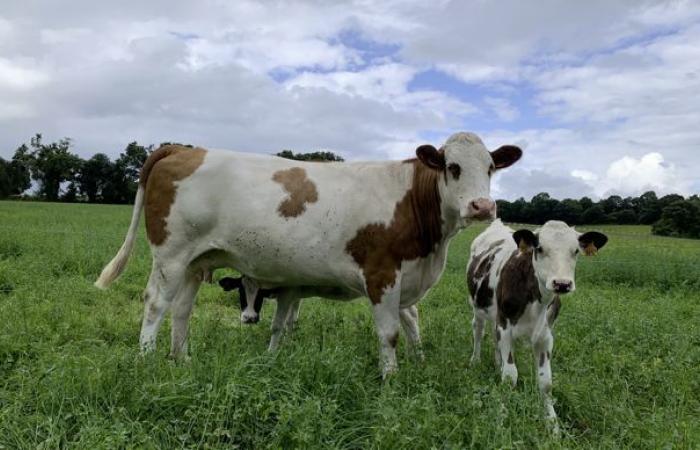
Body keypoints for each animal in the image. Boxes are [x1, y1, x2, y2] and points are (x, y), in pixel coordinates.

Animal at [94, 131, 520, 376]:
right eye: (452, 166)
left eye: (491, 168)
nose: (482, 206)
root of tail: (183, 150)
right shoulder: (382, 274)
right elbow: (390, 333)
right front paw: (390, 380)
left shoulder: (406, 277)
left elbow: (411, 324)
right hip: (171, 254)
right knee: (155, 302)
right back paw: (147, 360)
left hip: (196, 261)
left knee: (182, 308)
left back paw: (181, 359)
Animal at [468, 220, 608, 428]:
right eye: (539, 248)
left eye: (575, 250)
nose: (562, 284)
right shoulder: (505, 326)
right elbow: (510, 376)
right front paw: (503, 414)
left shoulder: (545, 336)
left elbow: (546, 382)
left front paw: (552, 424)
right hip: (478, 308)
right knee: (478, 331)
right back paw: (475, 360)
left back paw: (497, 362)